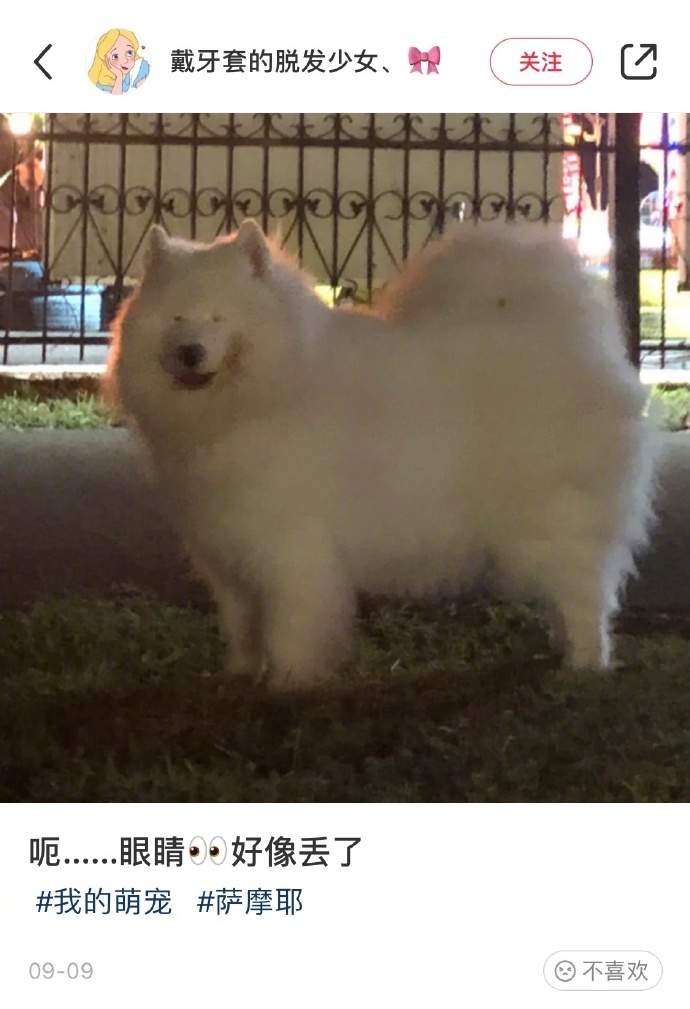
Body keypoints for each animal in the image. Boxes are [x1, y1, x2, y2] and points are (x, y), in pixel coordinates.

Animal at [106, 219, 656, 690]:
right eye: (177, 317)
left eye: (220, 315)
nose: (191, 351)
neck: (264, 394)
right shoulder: (225, 551)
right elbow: (242, 624)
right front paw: (239, 675)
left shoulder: (291, 546)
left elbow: (291, 624)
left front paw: (287, 683)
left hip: (553, 521)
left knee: (585, 593)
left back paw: (584, 664)